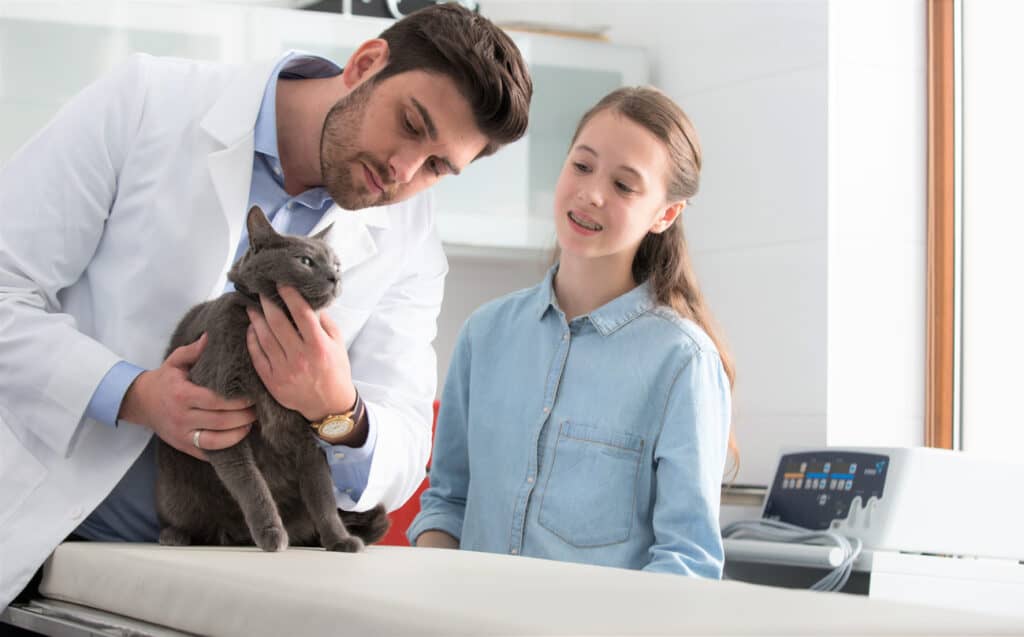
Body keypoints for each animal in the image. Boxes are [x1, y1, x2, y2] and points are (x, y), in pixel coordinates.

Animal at [153, 205, 389, 553]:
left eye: (336, 264)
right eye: (306, 261)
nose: (336, 277)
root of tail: (231, 537)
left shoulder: (308, 436)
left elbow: (322, 496)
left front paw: (339, 540)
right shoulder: (220, 419)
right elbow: (251, 483)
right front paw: (271, 534)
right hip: (174, 491)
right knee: (185, 517)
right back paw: (175, 536)